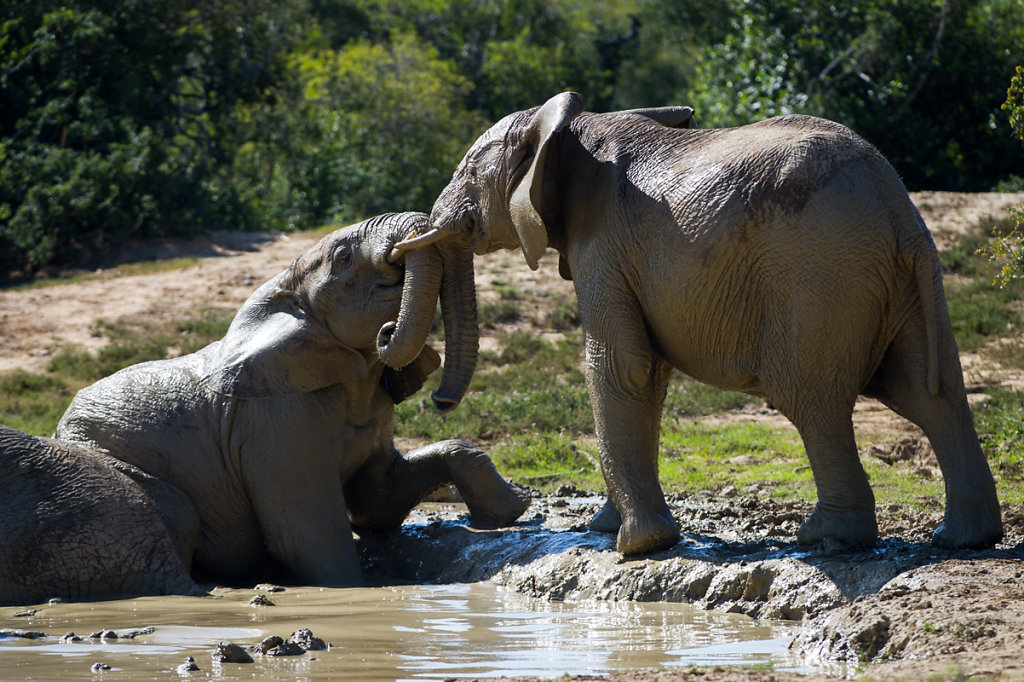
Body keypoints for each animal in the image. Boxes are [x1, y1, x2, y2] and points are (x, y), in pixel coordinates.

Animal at [0, 210, 528, 602]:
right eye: (343, 257)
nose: (441, 399)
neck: (283, 288)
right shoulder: (275, 417)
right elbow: (307, 531)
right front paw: (356, 594)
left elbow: (376, 503)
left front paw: (512, 509)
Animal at [403, 90, 1003, 557]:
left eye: (466, 171)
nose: (438, 402)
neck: (574, 127)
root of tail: (899, 211)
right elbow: (647, 374)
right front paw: (606, 529)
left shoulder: (605, 246)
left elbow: (622, 368)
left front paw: (636, 547)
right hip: (896, 283)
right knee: (928, 392)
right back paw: (962, 540)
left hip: (820, 274)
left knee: (811, 398)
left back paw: (828, 539)